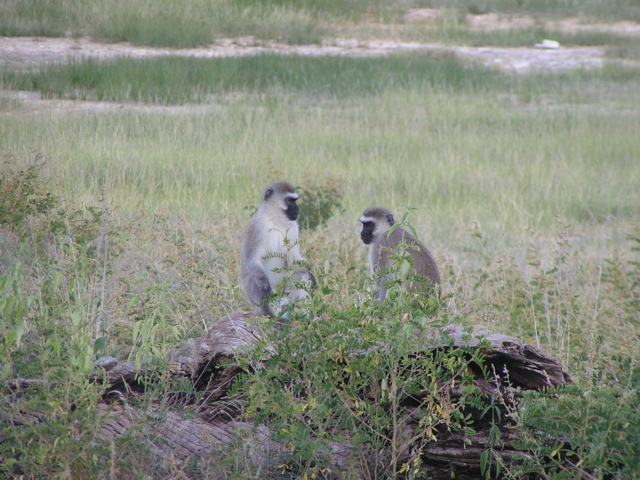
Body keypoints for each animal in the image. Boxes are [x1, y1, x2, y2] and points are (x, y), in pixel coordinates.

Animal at [240, 179, 316, 316]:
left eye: (295, 200)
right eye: (290, 200)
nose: (297, 209)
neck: (275, 220)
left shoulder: (293, 226)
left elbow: (294, 259)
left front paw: (311, 270)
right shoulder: (258, 226)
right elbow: (252, 260)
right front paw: (264, 282)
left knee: (300, 274)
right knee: (258, 284)